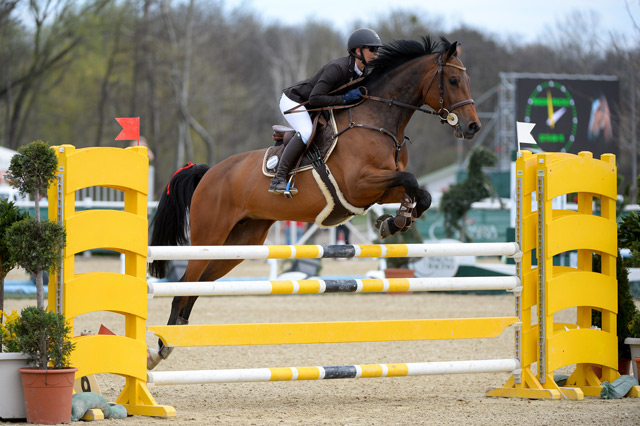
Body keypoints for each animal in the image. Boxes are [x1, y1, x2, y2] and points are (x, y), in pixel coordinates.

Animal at [148, 35, 480, 368]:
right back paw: (161, 347)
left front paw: (395, 221)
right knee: (185, 284)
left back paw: (173, 338)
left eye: (467, 80)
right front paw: (395, 221)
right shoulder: (359, 183)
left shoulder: (379, 189)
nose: (472, 127)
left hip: (240, 242)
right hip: (210, 236)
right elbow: (410, 179)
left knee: (198, 285)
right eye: (453, 80)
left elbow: (420, 193)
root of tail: (208, 172)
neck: (377, 120)